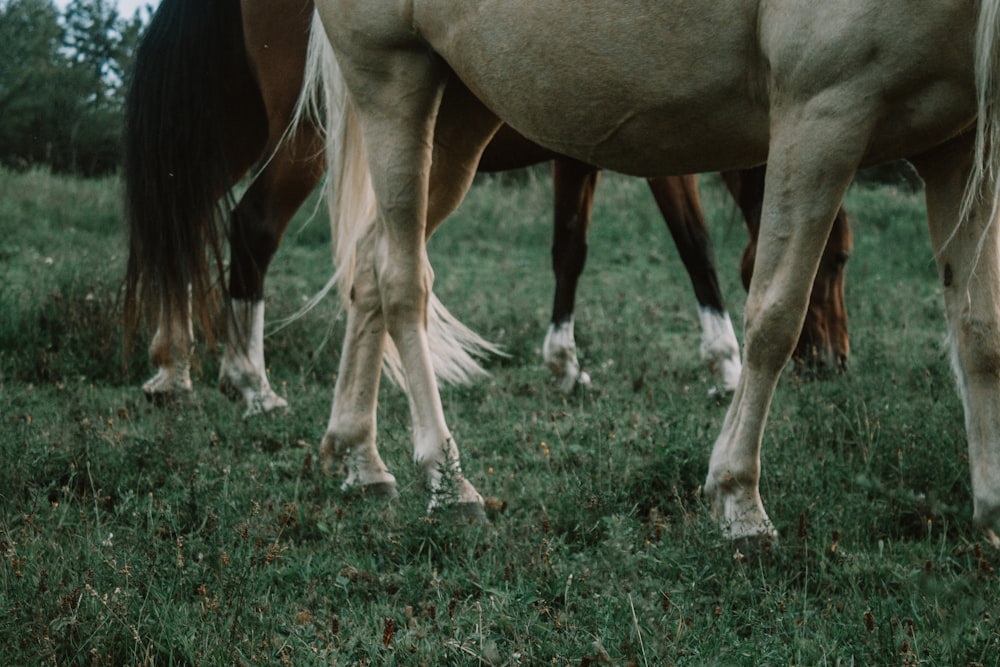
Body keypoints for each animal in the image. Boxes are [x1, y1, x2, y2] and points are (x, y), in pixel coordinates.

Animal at [312, 0, 1000, 548]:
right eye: (838, 260)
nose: (835, 363)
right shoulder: (823, 114)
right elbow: (774, 315)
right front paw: (740, 503)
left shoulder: (961, 145)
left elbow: (979, 332)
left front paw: (991, 511)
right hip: (393, 79)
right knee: (402, 279)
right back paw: (449, 485)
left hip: (460, 105)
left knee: (369, 263)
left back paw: (361, 458)